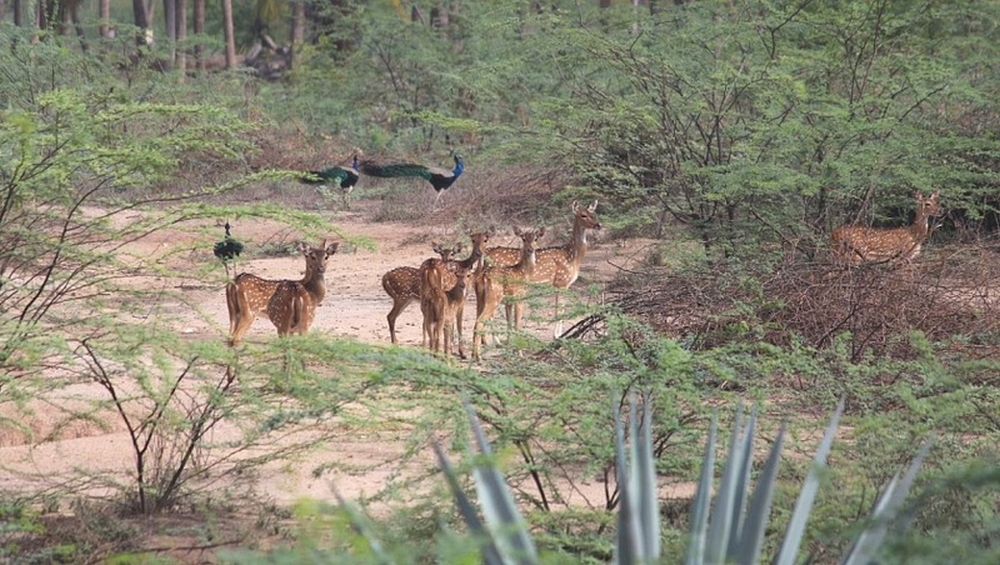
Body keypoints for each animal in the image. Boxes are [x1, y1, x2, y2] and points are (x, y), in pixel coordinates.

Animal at [470, 227, 544, 360]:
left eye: (536, 238)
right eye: (523, 238)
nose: (530, 249)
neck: (525, 273)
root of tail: (483, 277)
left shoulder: (509, 301)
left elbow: (509, 324)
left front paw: (511, 349)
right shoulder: (520, 297)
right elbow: (517, 325)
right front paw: (520, 353)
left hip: (481, 297)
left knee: (476, 320)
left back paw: (474, 354)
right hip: (494, 298)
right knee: (480, 321)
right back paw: (479, 357)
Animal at [484, 200, 600, 334]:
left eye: (594, 213)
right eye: (583, 215)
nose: (598, 225)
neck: (571, 256)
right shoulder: (561, 281)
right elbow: (559, 309)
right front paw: (557, 335)